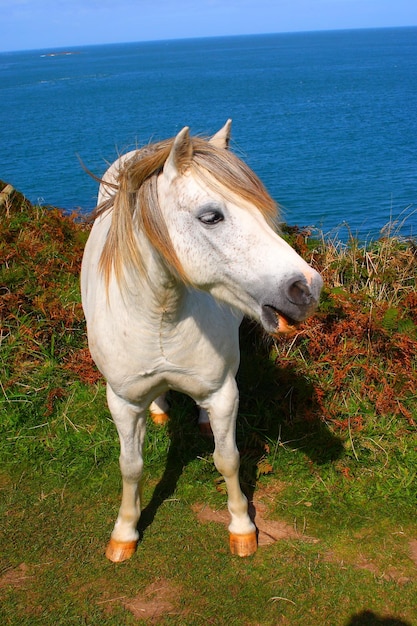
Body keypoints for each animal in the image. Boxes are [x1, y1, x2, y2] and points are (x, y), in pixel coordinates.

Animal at [80, 122, 322, 560]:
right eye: (211, 216)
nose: (308, 288)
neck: (162, 313)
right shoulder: (122, 402)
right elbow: (131, 466)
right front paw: (124, 533)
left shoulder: (223, 392)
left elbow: (227, 459)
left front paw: (242, 528)